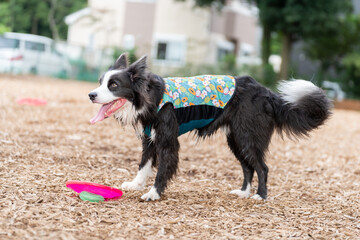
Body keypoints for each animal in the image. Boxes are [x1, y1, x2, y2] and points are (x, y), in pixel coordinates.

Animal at [88, 54, 330, 201]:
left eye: (114, 85)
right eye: (100, 82)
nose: (91, 95)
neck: (152, 97)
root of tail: (267, 94)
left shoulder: (167, 141)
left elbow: (162, 169)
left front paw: (153, 193)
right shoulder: (150, 138)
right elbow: (144, 164)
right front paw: (136, 184)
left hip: (247, 137)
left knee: (262, 168)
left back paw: (260, 196)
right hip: (235, 139)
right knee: (248, 167)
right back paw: (243, 192)